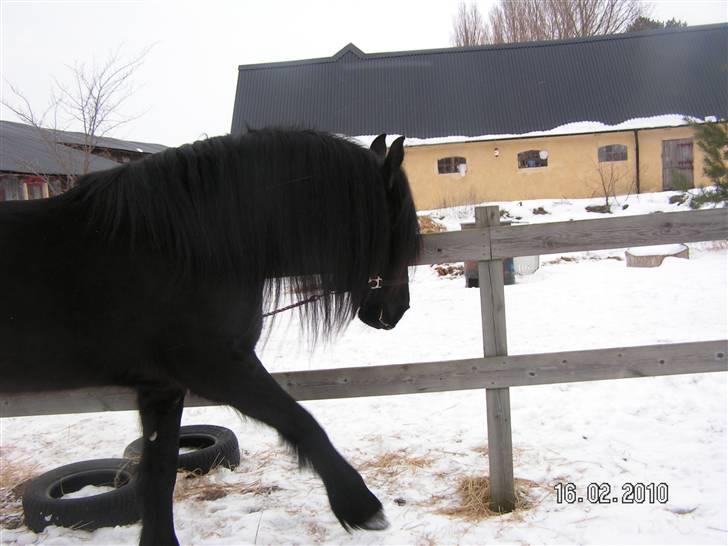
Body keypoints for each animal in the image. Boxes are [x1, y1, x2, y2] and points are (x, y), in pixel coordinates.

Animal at [0, 129, 420, 544]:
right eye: (399, 226)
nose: (397, 310)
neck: (180, 248)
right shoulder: (216, 369)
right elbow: (302, 422)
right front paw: (361, 506)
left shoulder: (162, 388)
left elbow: (159, 477)